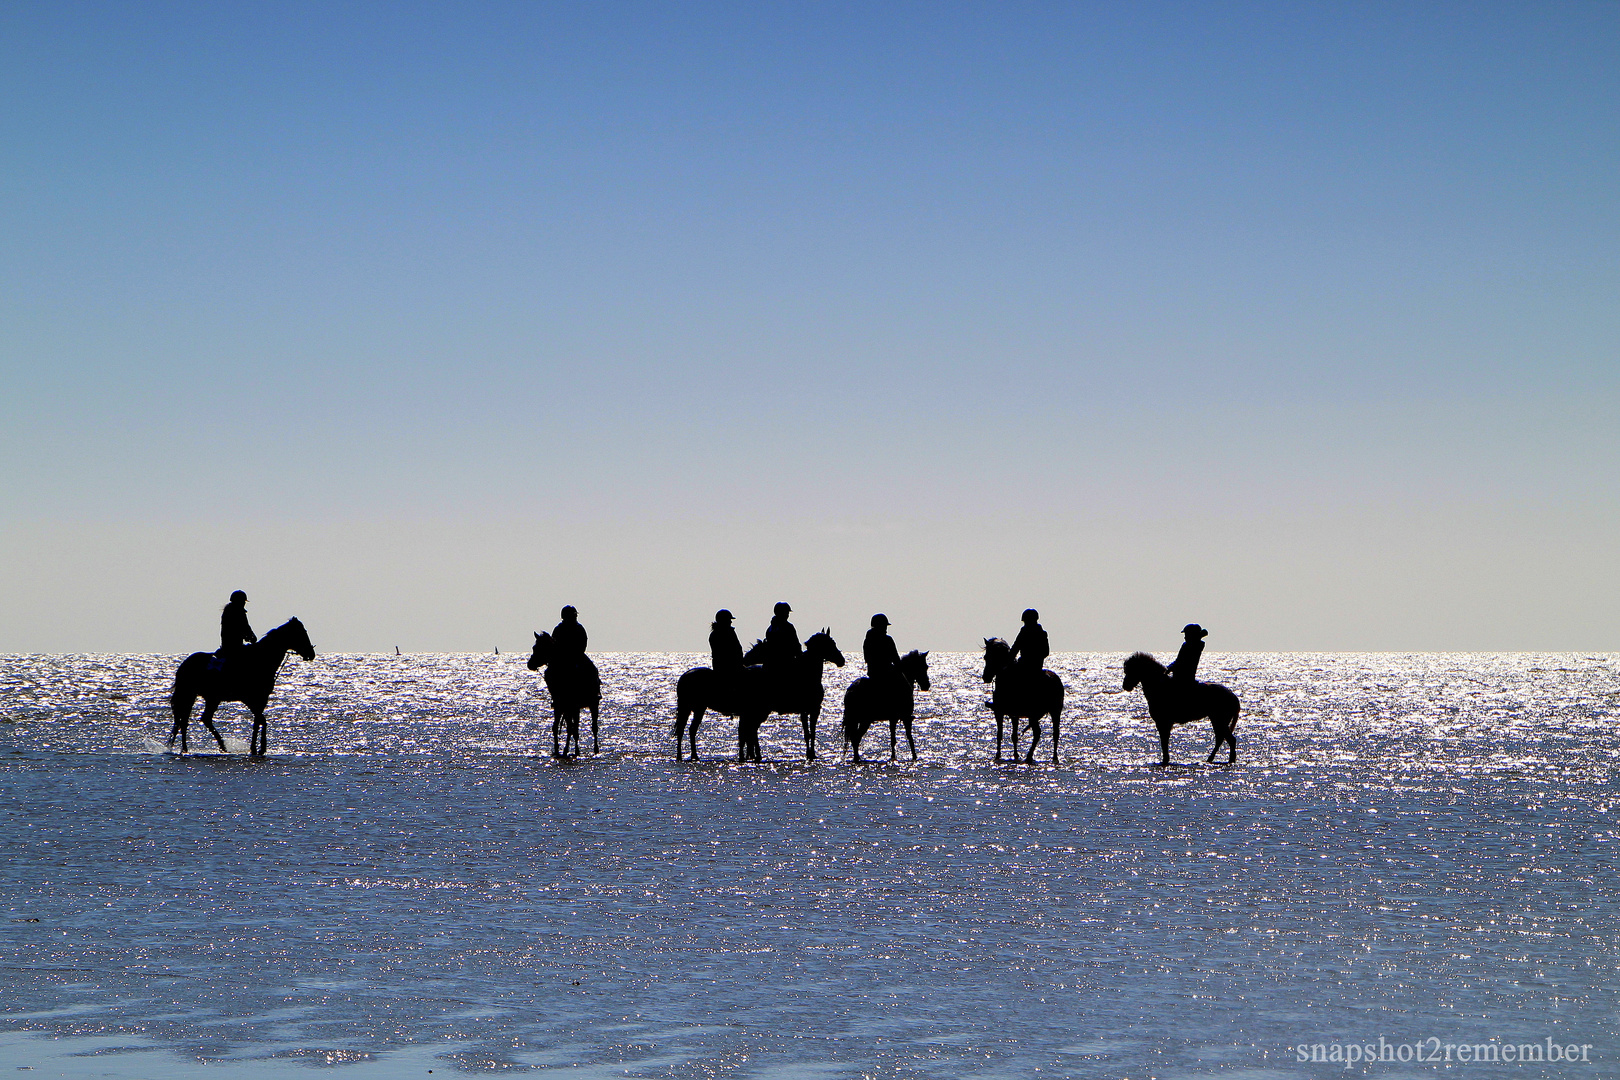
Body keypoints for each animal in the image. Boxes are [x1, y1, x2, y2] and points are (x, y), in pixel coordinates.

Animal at [167, 615, 315, 761]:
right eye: (302, 633)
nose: (311, 653)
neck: (262, 659)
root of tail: (184, 665)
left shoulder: (260, 700)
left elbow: (259, 721)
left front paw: (257, 748)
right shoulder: (252, 699)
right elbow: (260, 721)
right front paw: (258, 748)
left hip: (209, 698)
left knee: (197, 719)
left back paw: (216, 747)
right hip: (192, 695)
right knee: (186, 720)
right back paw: (191, 749)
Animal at [528, 628, 605, 757]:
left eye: (540, 648)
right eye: (534, 647)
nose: (530, 664)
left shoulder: (573, 706)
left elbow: (572, 728)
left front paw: (573, 750)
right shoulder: (560, 706)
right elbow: (556, 727)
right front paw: (557, 750)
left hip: (593, 703)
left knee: (593, 727)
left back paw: (595, 749)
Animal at [673, 634, 848, 761]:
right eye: (829, 644)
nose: (842, 660)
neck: (805, 674)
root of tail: (685, 676)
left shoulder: (807, 710)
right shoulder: (810, 709)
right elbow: (810, 732)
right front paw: (811, 754)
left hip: (694, 708)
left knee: (687, 729)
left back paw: (686, 755)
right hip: (699, 708)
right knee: (690, 729)